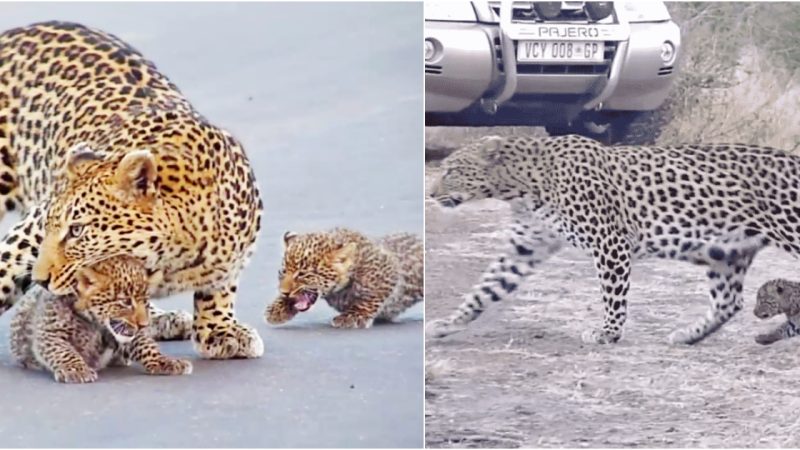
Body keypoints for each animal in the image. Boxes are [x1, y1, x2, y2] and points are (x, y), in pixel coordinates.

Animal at [0, 21, 264, 360]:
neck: (175, 259)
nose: (40, 280)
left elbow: (220, 287)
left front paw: (220, 331)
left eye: (77, 231)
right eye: (53, 227)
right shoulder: (29, 233)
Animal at [428, 134, 796, 344]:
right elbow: (485, 288)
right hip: (725, 253)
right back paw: (688, 336)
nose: (430, 194)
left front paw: (608, 332)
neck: (522, 184)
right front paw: (447, 324)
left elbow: (612, 293)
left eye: (452, 171)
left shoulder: (609, 241)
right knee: (728, 301)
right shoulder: (527, 245)